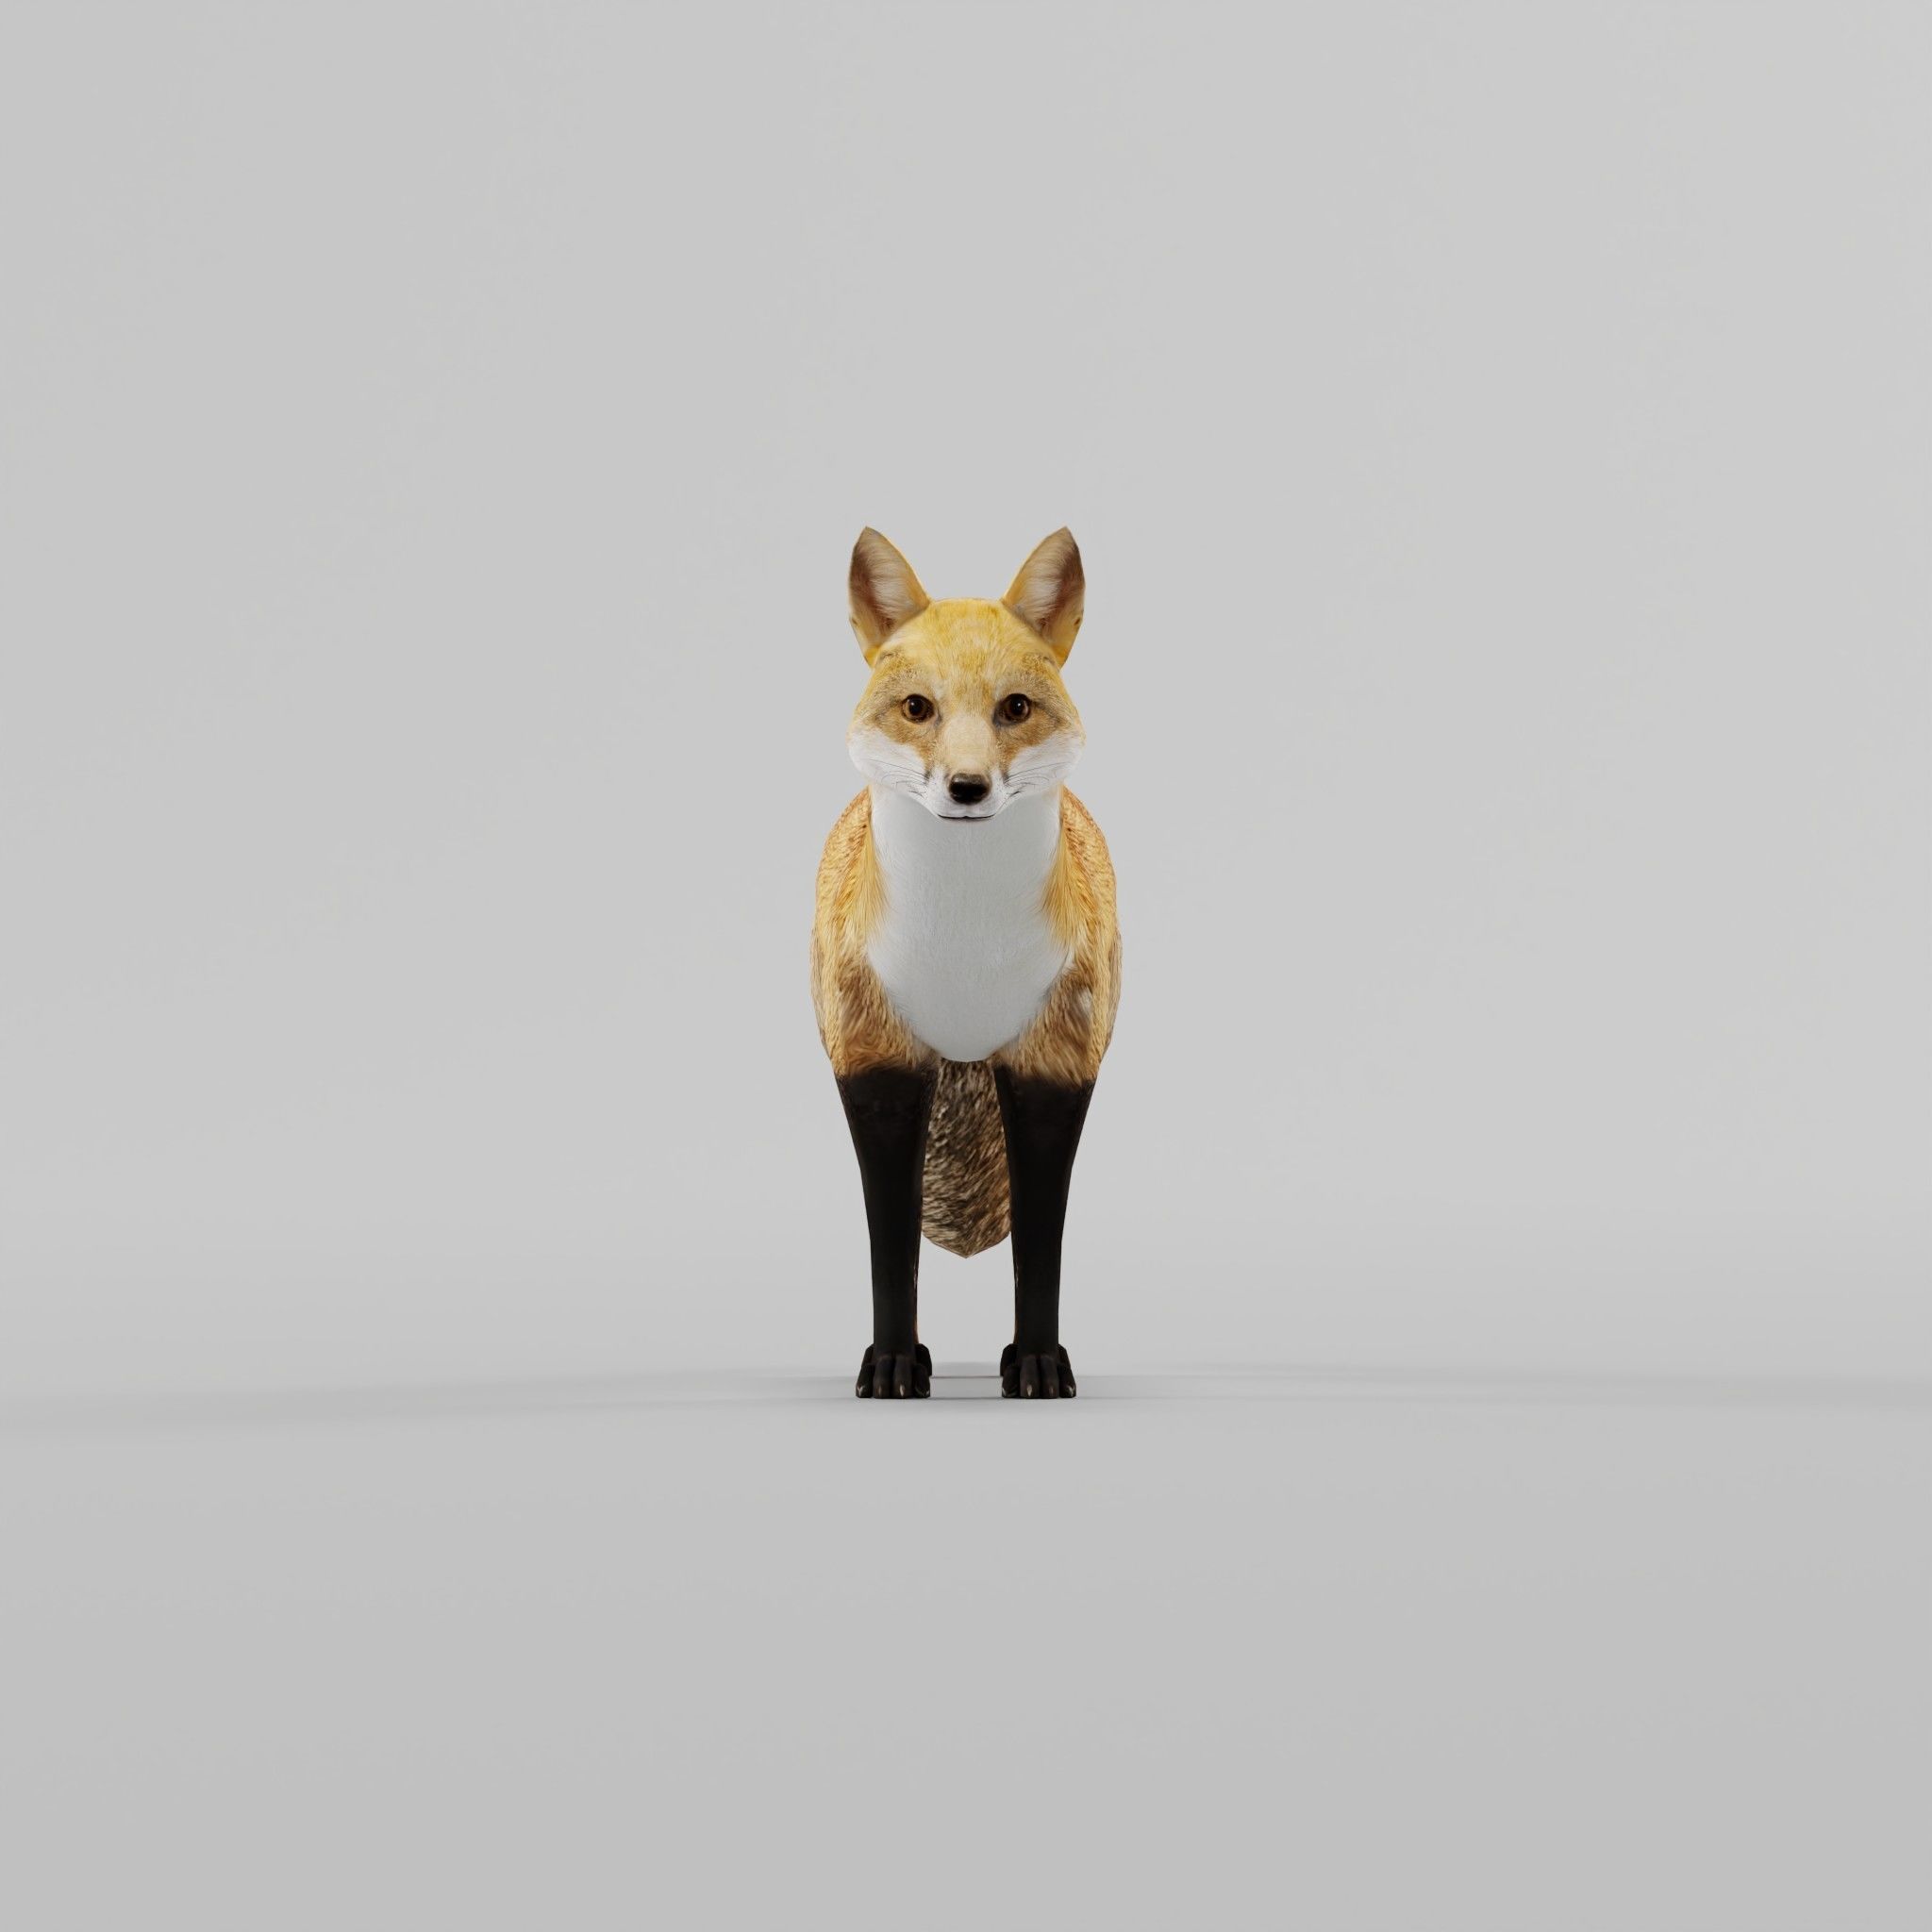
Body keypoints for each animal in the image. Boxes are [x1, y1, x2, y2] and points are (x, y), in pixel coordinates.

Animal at [812, 527, 1121, 1400]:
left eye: (1014, 708)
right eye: (919, 708)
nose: (968, 786)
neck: (965, 955)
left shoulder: (1055, 1065)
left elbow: (1038, 1258)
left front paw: (1040, 1363)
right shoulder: (877, 1064)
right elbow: (892, 1258)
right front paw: (890, 1364)